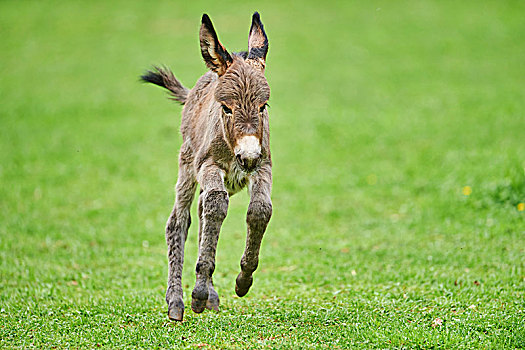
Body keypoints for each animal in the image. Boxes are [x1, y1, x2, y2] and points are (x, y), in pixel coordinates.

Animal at [141, 12, 272, 322]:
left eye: (263, 107)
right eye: (226, 108)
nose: (248, 157)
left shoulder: (263, 166)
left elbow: (260, 210)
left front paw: (243, 280)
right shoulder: (208, 166)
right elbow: (216, 207)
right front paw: (198, 293)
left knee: (202, 210)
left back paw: (209, 294)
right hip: (187, 167)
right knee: (179, 220)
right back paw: (176, 303)